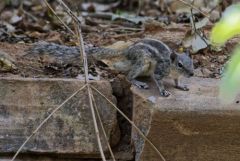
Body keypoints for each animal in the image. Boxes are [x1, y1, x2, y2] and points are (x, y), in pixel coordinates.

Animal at [4, 38, 194, 96]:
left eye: (193, 63)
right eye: (180, 64)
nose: (192, 74)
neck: (171, 66)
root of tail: (126, 51)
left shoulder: (175, 75)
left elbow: (177, 81)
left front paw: (181, 86)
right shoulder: (160, 70)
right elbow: (159, 80)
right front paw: (163, 91)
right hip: (143, 62)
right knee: (128, 75)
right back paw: (138, 82)